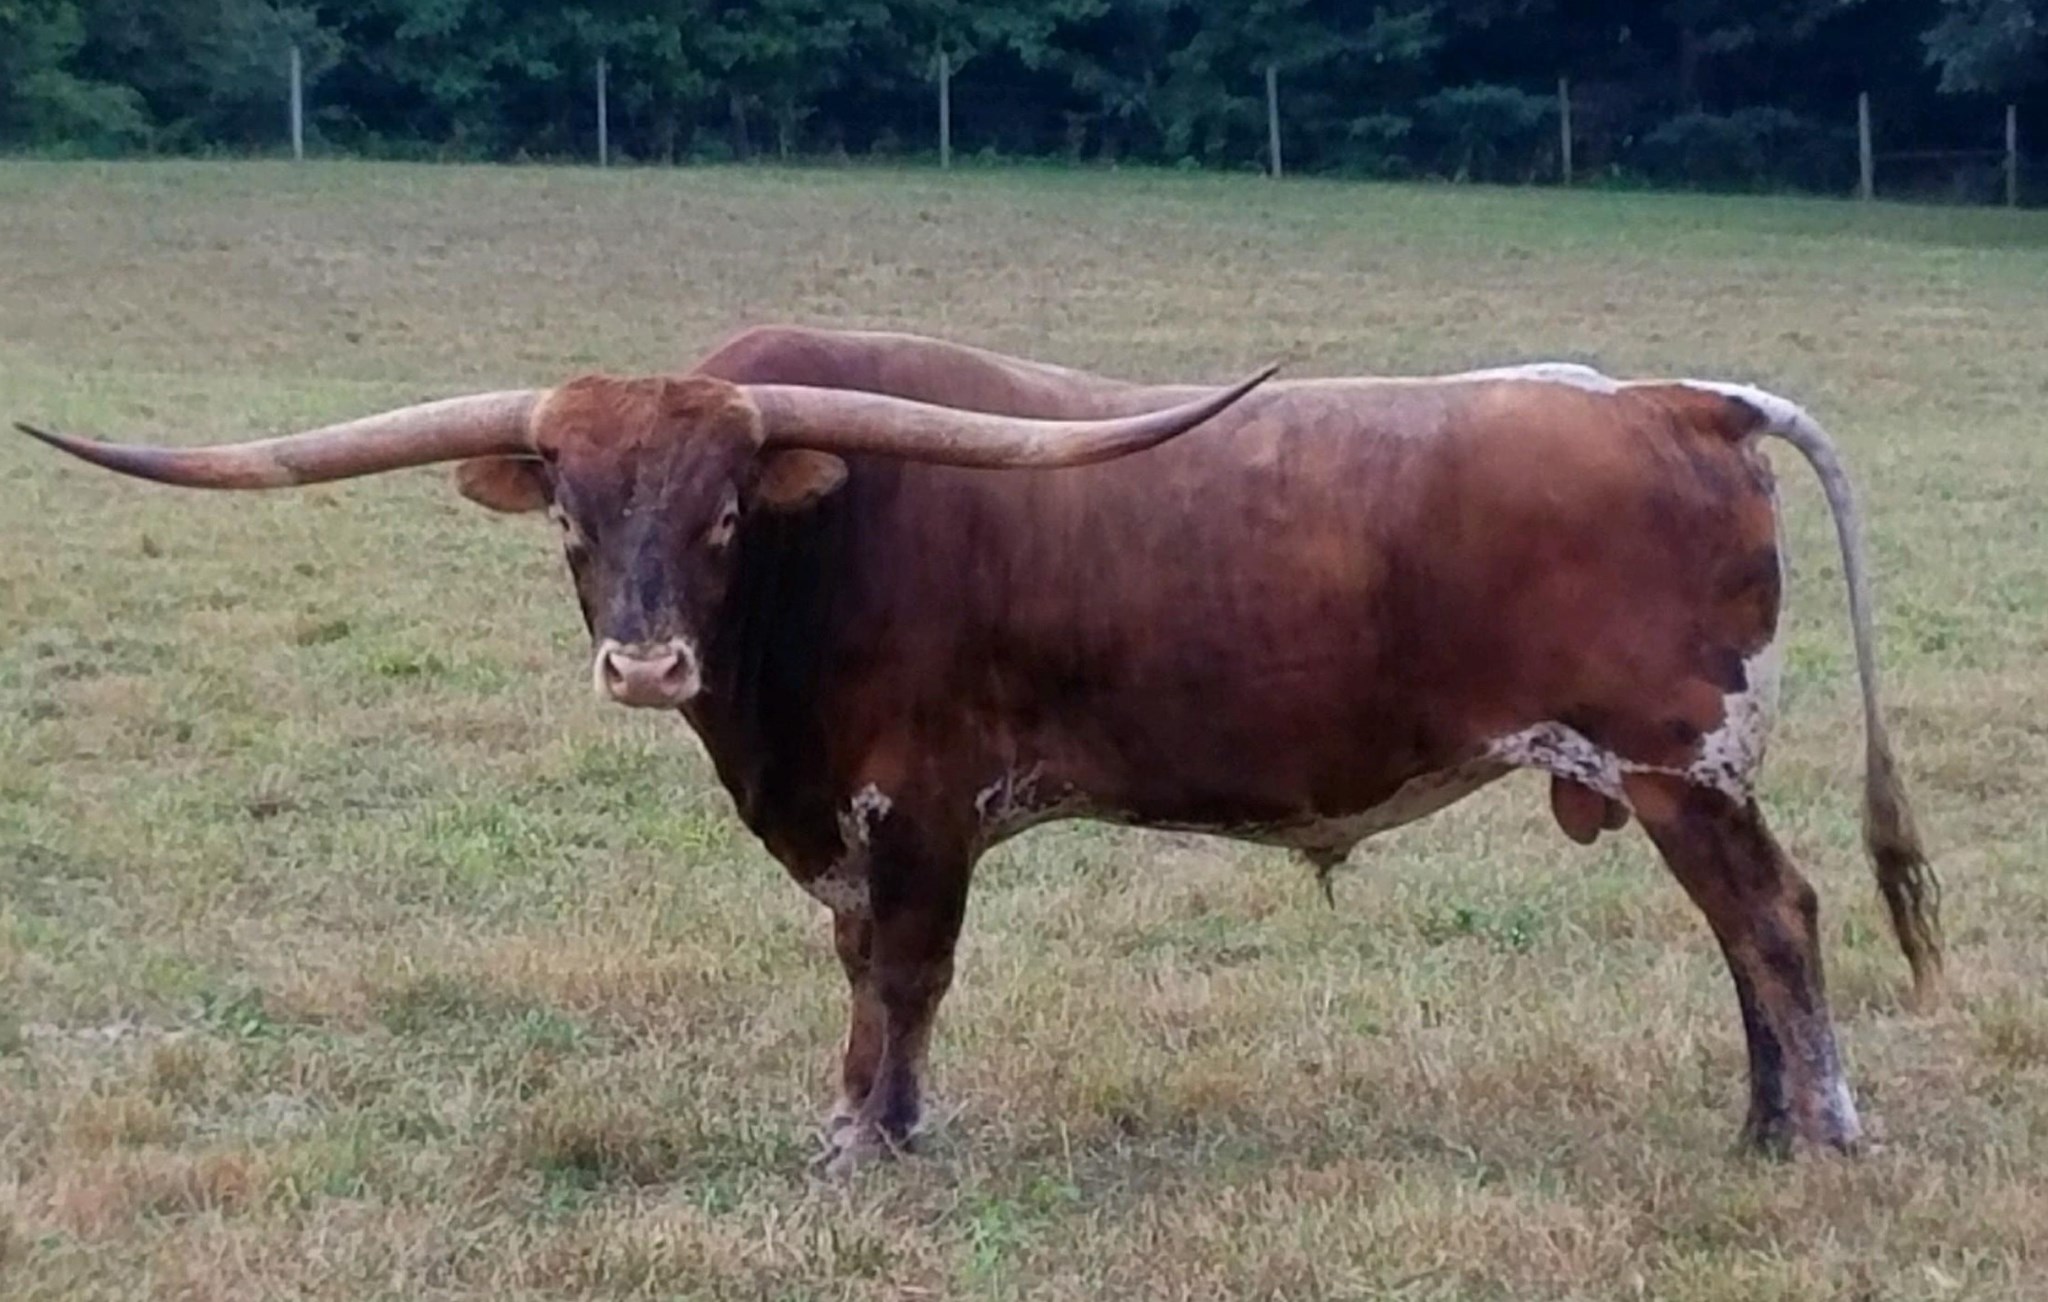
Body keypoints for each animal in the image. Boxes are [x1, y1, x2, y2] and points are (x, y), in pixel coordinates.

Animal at [17, 325, 1941, 1176]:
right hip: (1666, 775)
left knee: (1778, 923)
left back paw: (1825, 1132)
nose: (643, 658)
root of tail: (1675, 396)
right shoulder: (853, 824)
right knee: (1746, 936)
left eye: (726, 511)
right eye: (568, 503)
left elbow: (906, 972)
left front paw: (871, 1144)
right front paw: (861, 1118)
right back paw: (1761, 1123)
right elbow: (865, 971)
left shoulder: (920, 802)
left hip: (1681, 760)